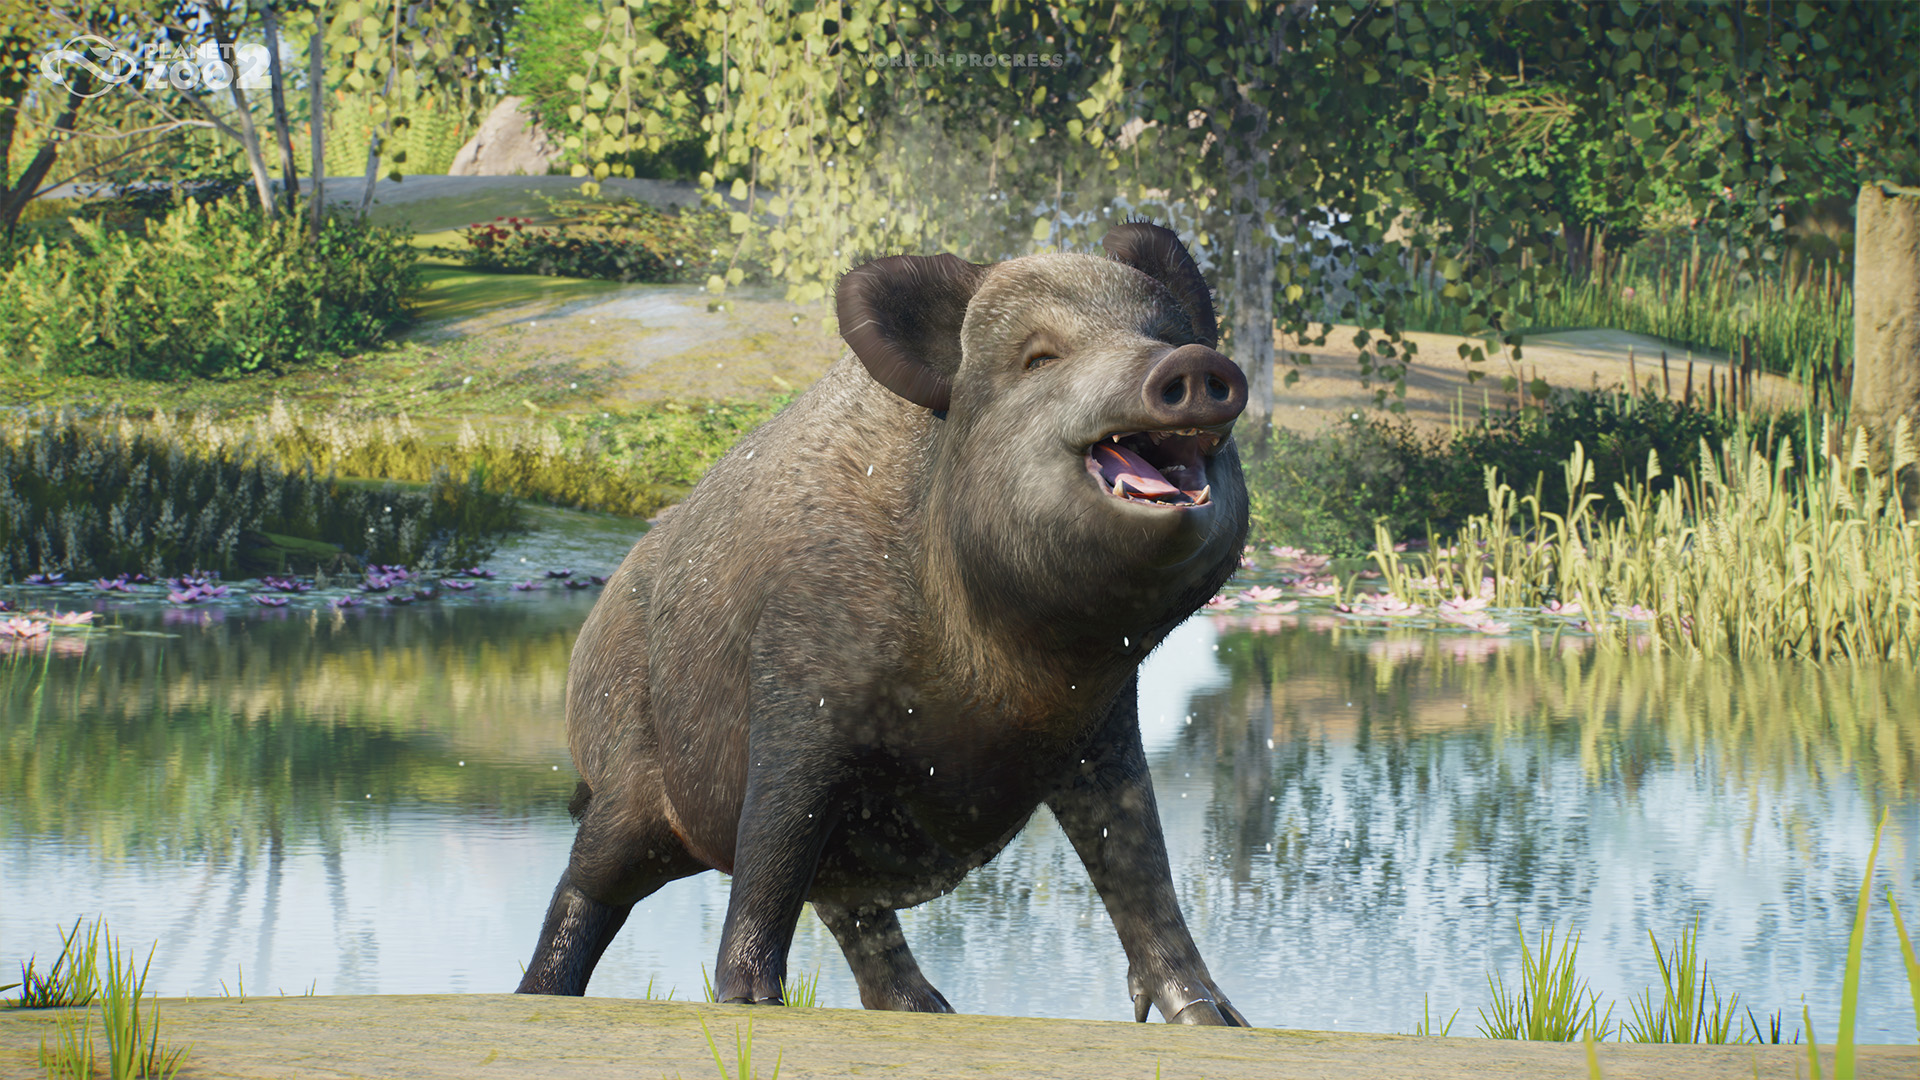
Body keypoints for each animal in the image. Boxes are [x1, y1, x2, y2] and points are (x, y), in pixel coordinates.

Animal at [516, 222, 1251, 1025]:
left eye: (1163, 334)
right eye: (1040, 357)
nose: (1192, 363)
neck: (1009, 672)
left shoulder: (1104, 727)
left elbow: (1138, 859)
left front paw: (1219, 1020)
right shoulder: (799, 701)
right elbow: (771, 848)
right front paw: (751, 1004)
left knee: (853, 911)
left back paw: (928, 1009)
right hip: (633, 778)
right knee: (591, 879)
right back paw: (536, 995)